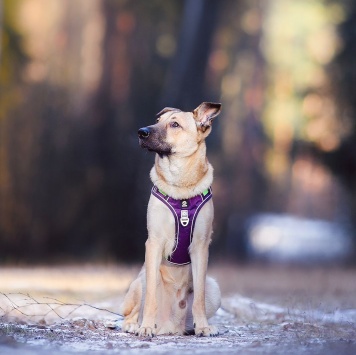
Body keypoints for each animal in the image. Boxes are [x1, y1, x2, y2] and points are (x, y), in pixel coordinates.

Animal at [121, 102, 222, 336]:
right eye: (157, 121)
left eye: (174, 125)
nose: (141, 132)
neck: (180, 188)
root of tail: (170, 327)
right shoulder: (154, 243)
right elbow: (150, 298)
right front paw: (146, 327)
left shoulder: (200, 247)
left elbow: (199, 298)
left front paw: (203, 327)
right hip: (139, 281)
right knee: (132, 311)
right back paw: (135, 325)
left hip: (215, 287)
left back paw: (195, 327)